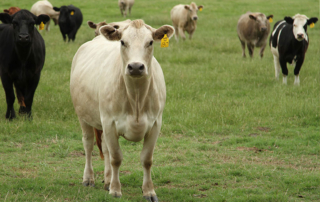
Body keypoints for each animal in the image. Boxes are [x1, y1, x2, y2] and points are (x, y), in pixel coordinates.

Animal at [70, 19, 175, 201]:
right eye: (123, 42)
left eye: (150, 42)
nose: (136, 67)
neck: (136, 98)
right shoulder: (109, 123)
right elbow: (116, 158)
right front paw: (115, 189)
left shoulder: (155, 124)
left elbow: (146, 159)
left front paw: (149, 191)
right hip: (83, 117)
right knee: (89, 144)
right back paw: (89, 178)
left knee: (105, 148)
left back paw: (106, 180)